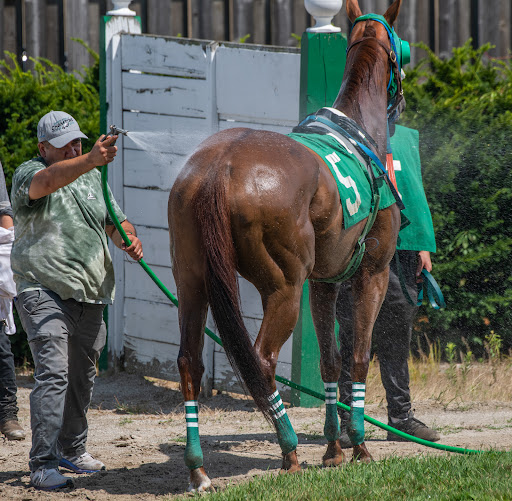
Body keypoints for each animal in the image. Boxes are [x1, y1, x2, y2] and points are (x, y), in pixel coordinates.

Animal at [170, 0, 406, 488]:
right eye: (401, 52)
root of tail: (219, 166)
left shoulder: (324, 282)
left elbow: (330, 361)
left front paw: (334, 447)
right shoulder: (371, 274)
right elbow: (358, 357)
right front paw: (358, 445)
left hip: (193, 280)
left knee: (188, 361)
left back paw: (199, 468)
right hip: (283, 288)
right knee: (261, 358)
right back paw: (290, 449)